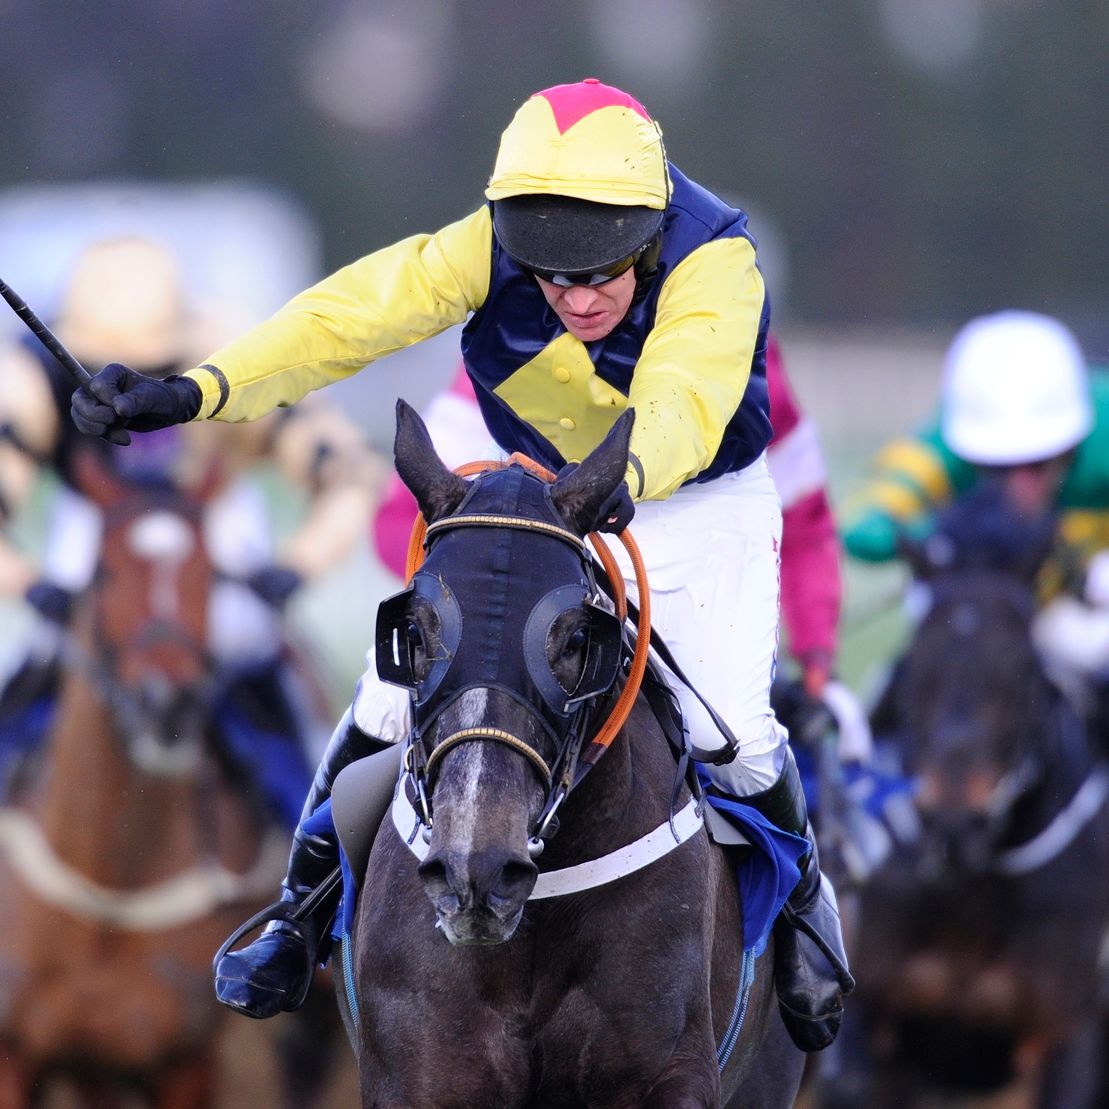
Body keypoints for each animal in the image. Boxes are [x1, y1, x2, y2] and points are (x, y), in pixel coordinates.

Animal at [0, 448, 290, 1107]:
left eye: (212, 576)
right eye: (104, 572)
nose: (168, 703)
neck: (111, 885)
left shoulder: (186, 1058)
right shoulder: (17, 1051)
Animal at [847, 497, 1109, 1108]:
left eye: (1020, 669)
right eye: (918, 663)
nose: (953, 821)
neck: (970, 893)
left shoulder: (1066, 1034)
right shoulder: (873, 1014)